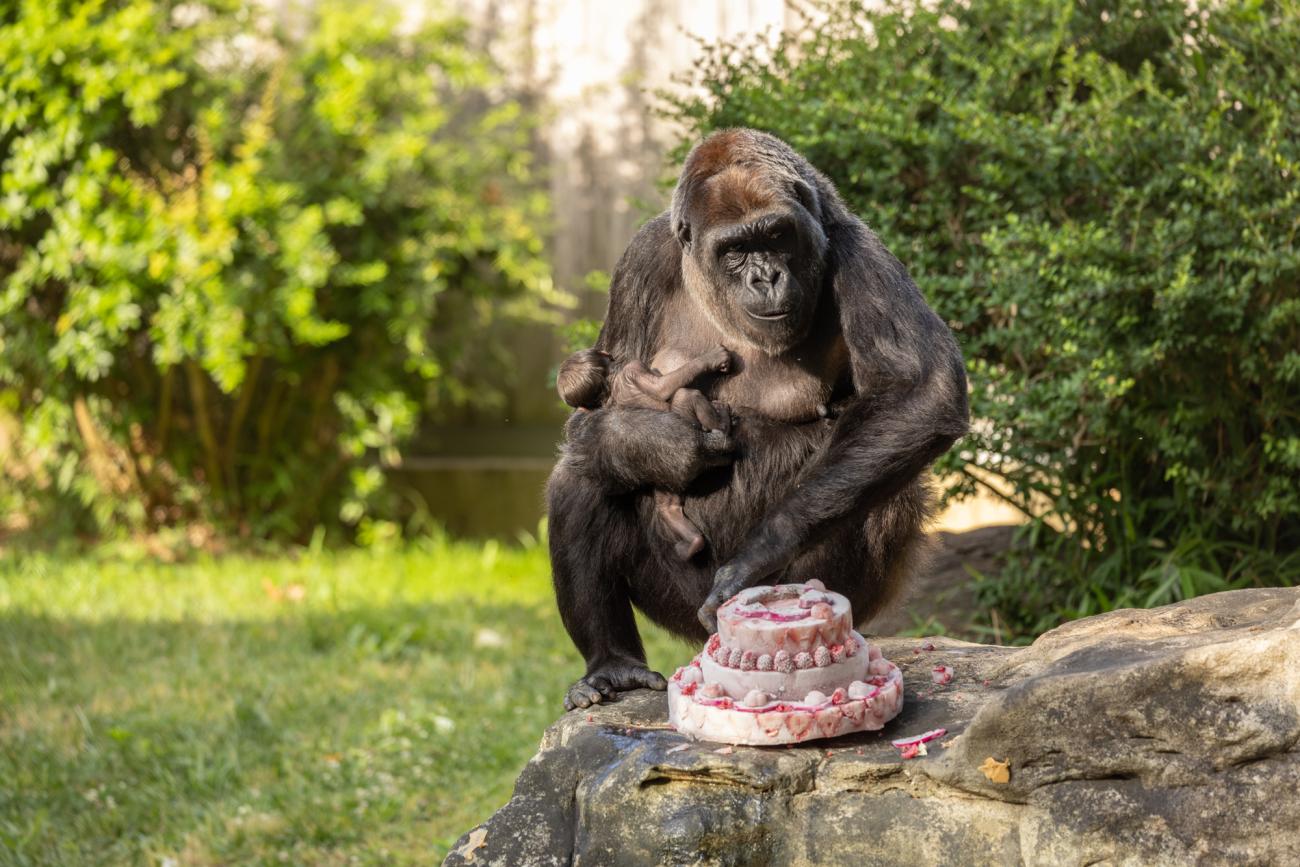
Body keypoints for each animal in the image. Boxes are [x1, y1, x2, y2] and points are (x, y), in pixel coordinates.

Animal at [556, 348, 733, 564]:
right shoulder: (634, 367)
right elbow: (662, 387)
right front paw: (712, 359)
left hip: (668, 474)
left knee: (667, 506)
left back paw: (691, 543)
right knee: (685, 395)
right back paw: (722, 424)